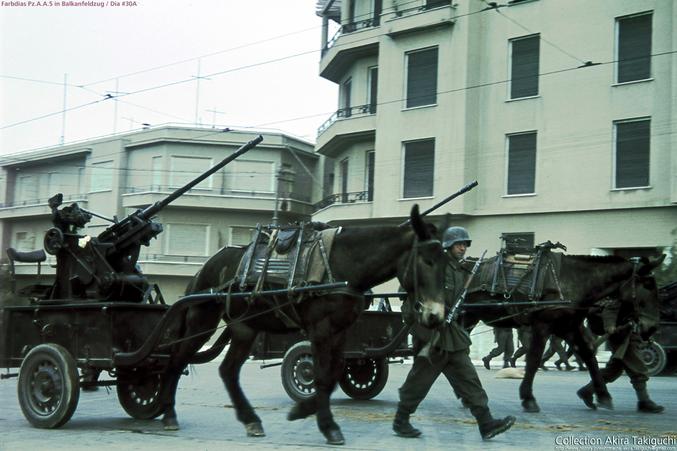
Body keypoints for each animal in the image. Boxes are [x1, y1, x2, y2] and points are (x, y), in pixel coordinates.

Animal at [160, 207, 446, 446]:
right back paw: (169, 413)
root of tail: (206, 266)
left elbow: (334, 372)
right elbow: (320, 375)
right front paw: (328, 426)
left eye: (445, 262)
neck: (342, 263)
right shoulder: (320, 328)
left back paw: (251, 420)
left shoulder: (341, 331)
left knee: (228, 370)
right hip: (203, 321)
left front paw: (303, 410)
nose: (436, 315)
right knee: (177, 359)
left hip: (245, 329)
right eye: (426, 261)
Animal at [460, 254, 660, 414]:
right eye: (648, 285)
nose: (651, 328)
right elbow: (533, 360)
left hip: (467, 318)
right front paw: (528, 398)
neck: (571, 281)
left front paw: (601, 395)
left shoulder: (569, 328)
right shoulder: (542, 326)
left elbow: (589, 357)